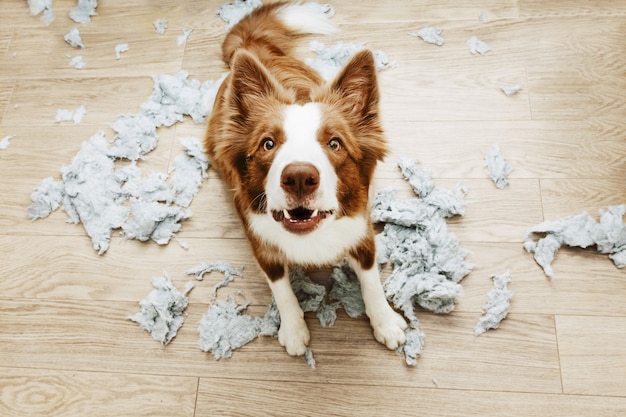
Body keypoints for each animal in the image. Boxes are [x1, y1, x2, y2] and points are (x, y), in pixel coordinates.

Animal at [202, 1, 408, 356]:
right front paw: (294, 330)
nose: (299, 177)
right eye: (268, 144)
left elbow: (371, 280)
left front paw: (385, 322)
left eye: (334, 143)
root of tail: (251, 47)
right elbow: (281, 287)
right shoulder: (260, 242)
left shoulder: (361, 231)